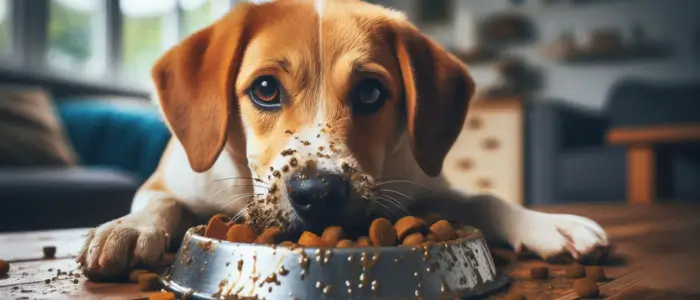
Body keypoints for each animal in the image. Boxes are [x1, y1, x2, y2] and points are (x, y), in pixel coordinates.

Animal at [78, 0, 612, 282]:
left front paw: (549, 226)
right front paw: (128, 230)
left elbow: (484, 197)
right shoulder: (167, 182)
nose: (318, 193)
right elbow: (160, 203)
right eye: (265, 89)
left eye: (371, 92)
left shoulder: (419, 187)